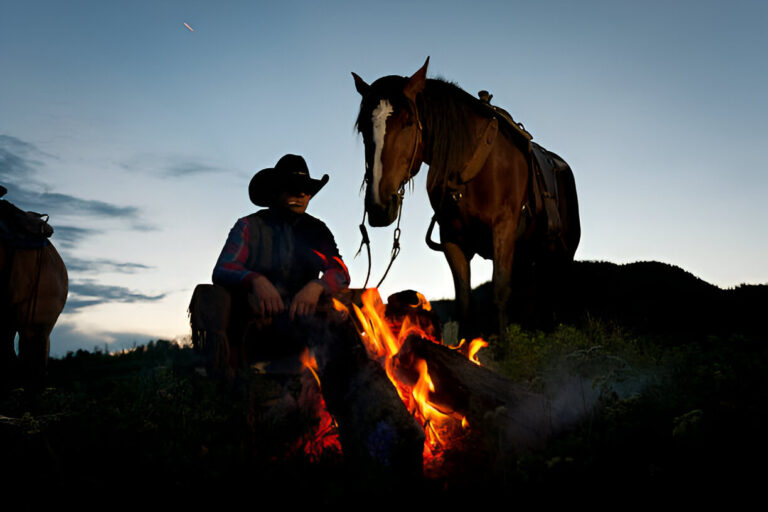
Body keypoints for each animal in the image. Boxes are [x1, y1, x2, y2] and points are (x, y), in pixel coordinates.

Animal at [352, 58, 580, 334]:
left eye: (408, 121)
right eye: (363, 128)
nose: (378, 205)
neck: (470, 168)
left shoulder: (503, 231)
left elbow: (499, 293)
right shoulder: (453, 241)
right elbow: (464, 303)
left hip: (563, 255)